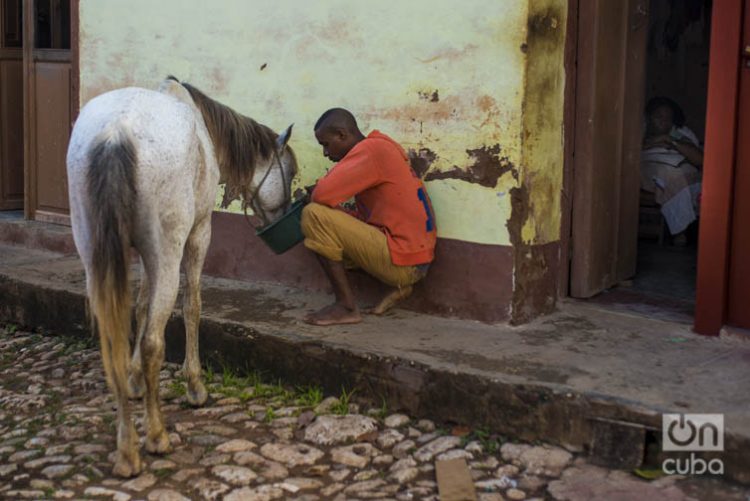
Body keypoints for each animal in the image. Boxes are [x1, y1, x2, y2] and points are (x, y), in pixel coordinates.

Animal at [66, 76, 298, 474]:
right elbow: (192, 307)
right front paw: (195, 386)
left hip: (96, 256)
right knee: (153, 342)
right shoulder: (198, 234)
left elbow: (141, 306)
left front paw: (134, 381)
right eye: (291, 172)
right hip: (169, 250)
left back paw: (126, 449)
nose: (283, 217)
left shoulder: (144, 255)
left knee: (113, 339)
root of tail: (116, 133)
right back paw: (155, 437)